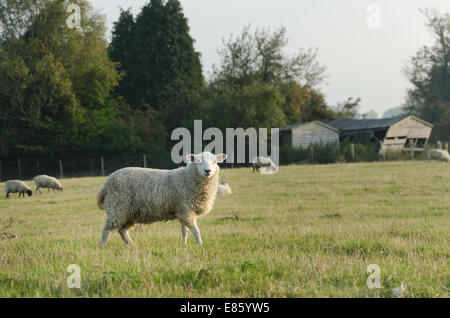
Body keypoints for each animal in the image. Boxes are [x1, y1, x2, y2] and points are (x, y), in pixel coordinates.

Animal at [96, 152, 227, 246]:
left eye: (215, 162)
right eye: (198, 162)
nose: (208, 171)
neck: (187, 178)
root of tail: (107, 182)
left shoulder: (183, 210)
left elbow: (185, 231)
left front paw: (184, 244)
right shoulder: (186, 209)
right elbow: (195, 230)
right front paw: (200, 244)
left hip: (130, 212)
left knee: (122, 230)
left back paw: (131, 245)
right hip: (117, 207)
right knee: (107, 229)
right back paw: (102, 246)